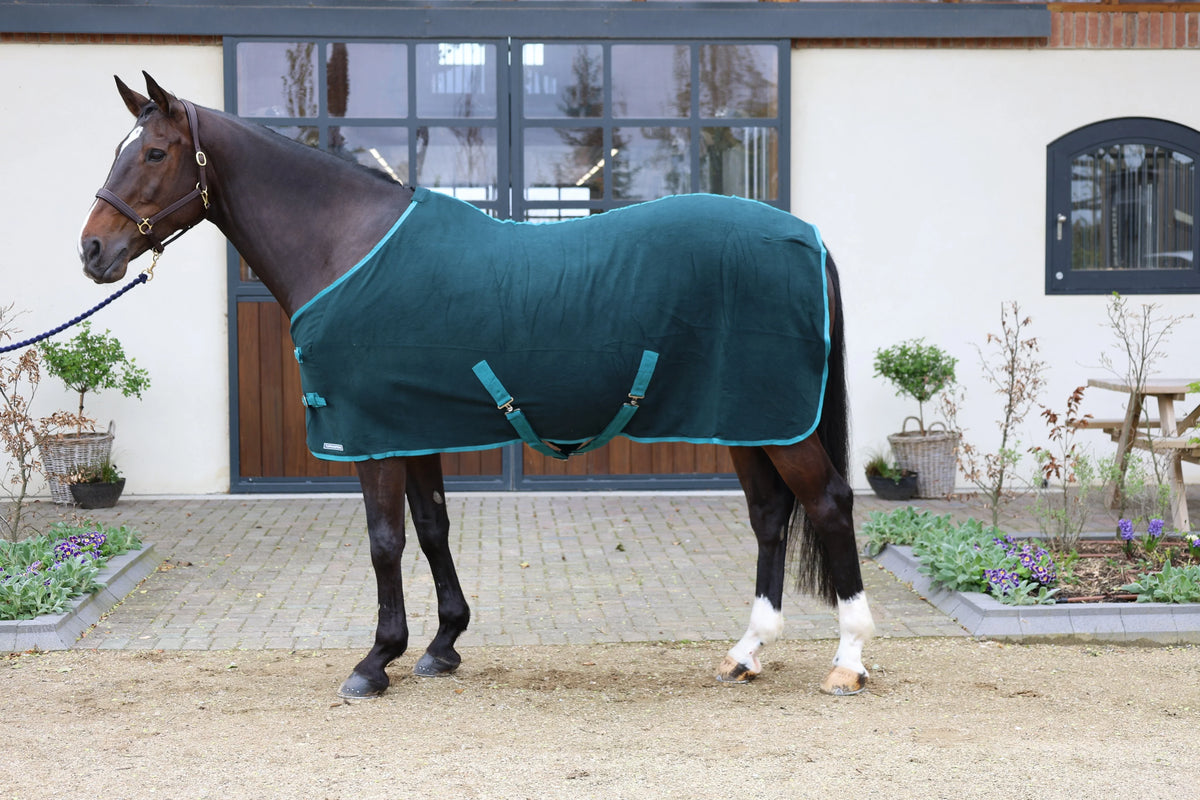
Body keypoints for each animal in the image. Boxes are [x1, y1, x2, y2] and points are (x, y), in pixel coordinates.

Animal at [79, 73, 875, 698]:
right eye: (119, 150)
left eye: (154, 152)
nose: (92, 250)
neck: (347, 244)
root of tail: (807, 236)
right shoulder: (411, 426)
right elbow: (431, 529)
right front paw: (441, 646)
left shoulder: (371, 434)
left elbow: (385, 541)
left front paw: (375, 661)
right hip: (747, 421)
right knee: (771, 516)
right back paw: (747, 652)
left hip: (782, 425)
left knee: (828, 504)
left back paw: (848, 660)